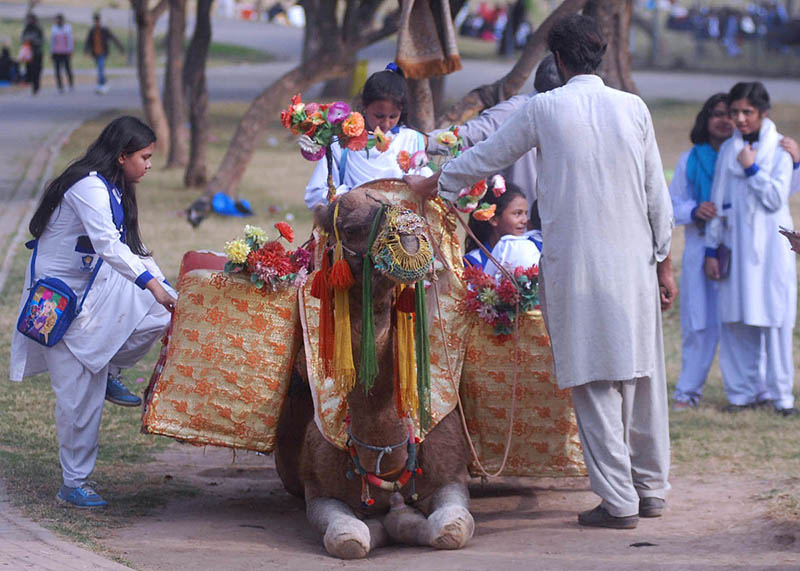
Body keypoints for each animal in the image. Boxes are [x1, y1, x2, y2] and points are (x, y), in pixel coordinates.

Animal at [276, 188, 476, 560]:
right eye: (351, 227)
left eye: (404, 207)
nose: (410, 234)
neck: (384, 453)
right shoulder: (319, 490)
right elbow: (347, 538)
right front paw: (389, 522)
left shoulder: (451, 476)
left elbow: (452, 528)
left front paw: (406, 519)